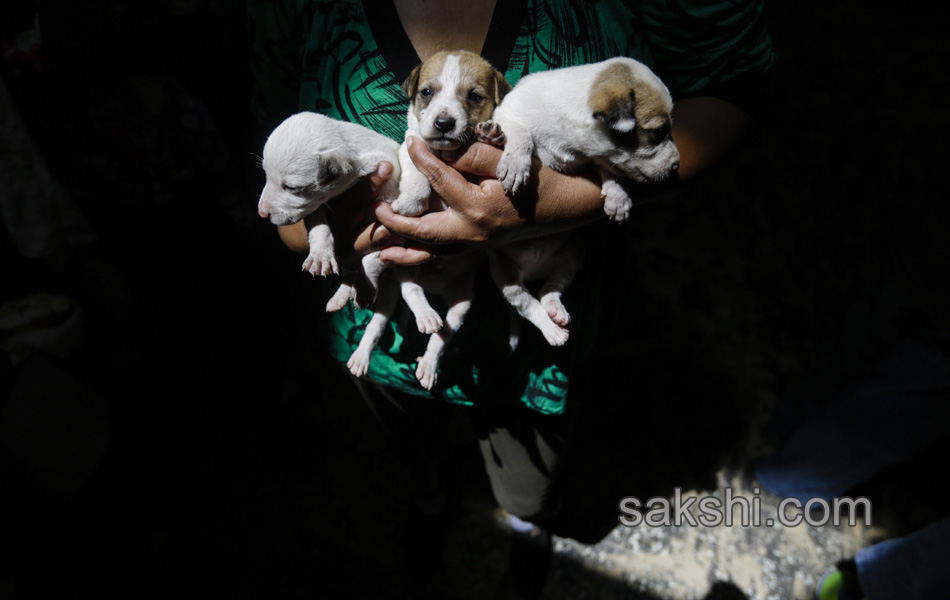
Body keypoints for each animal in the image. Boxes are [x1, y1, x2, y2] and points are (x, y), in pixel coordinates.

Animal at [480, 57, 680, 346]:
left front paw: (618, 197)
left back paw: (555, 312)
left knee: (549, 290)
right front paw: (516, 164)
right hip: (506, 276)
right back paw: (551, 330)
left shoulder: (599, 159)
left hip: (573, 254)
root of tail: (533, 271)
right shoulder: (508, 113)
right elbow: (522, 134)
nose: (677, 165)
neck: (573, 142)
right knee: (528, 305)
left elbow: (611, 170)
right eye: (658, 132)